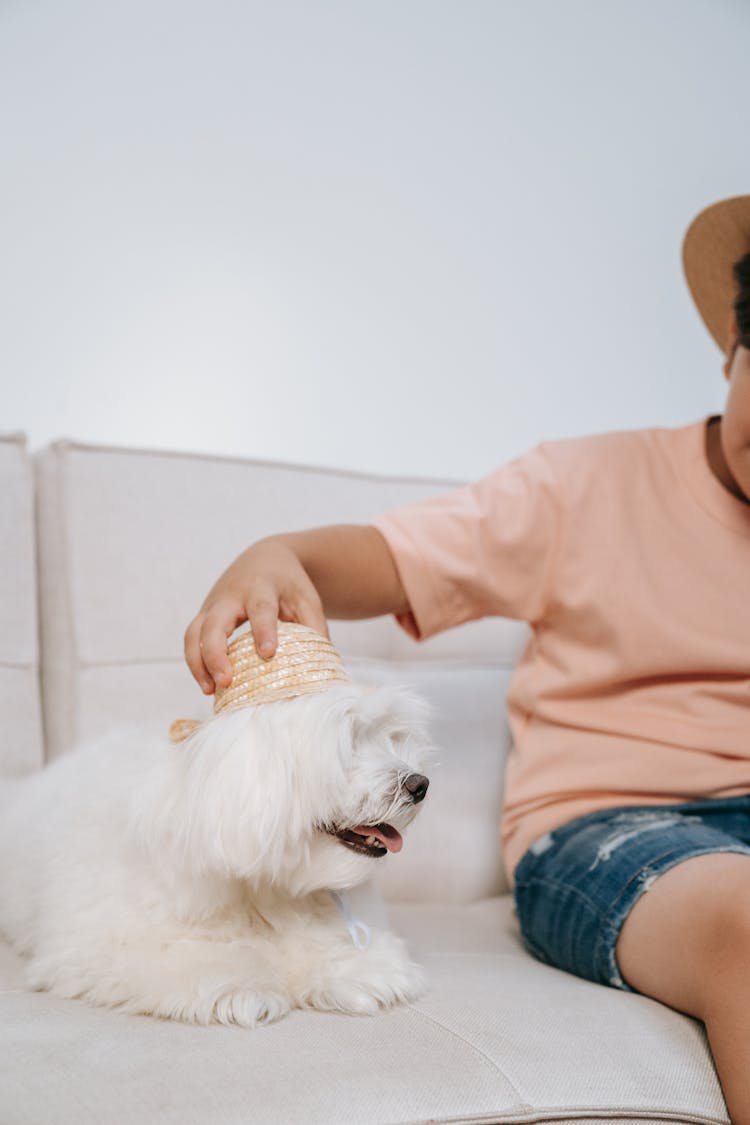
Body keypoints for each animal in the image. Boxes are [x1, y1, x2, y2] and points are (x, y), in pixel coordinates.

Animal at [0, 675, 434, 1030]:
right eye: (350, 742)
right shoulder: (105, 941)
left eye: (389, 737)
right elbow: (186, 956)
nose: (420, 784)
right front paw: (240, 985)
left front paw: (360, 969)